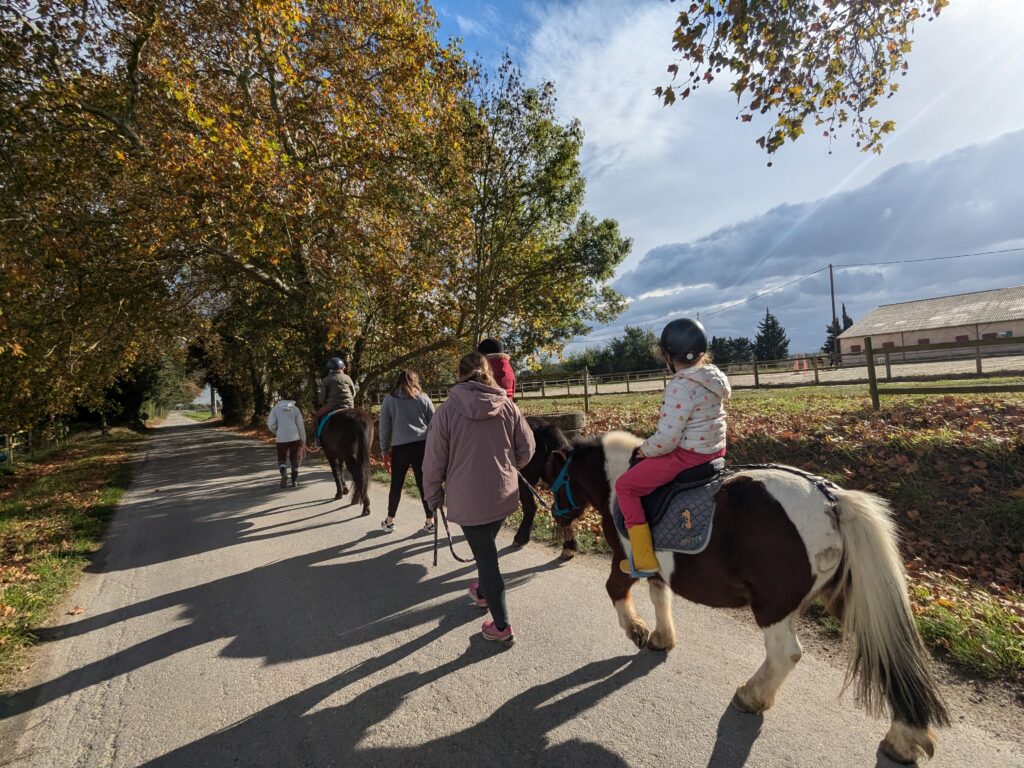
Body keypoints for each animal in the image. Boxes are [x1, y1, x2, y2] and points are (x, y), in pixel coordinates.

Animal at [548, 430, 946, 765]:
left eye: (555, 480)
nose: (556, 515)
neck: (618, 482)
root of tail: (831, 500)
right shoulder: (659, 571)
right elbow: (661, 597)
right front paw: (661, 638)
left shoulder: (624, 561)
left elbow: (615, 590)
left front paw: (637, 631)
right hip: (846, 597)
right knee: (887, 653)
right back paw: (904, 737)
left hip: (773, 605)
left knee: (786, 654)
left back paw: (752, 696)